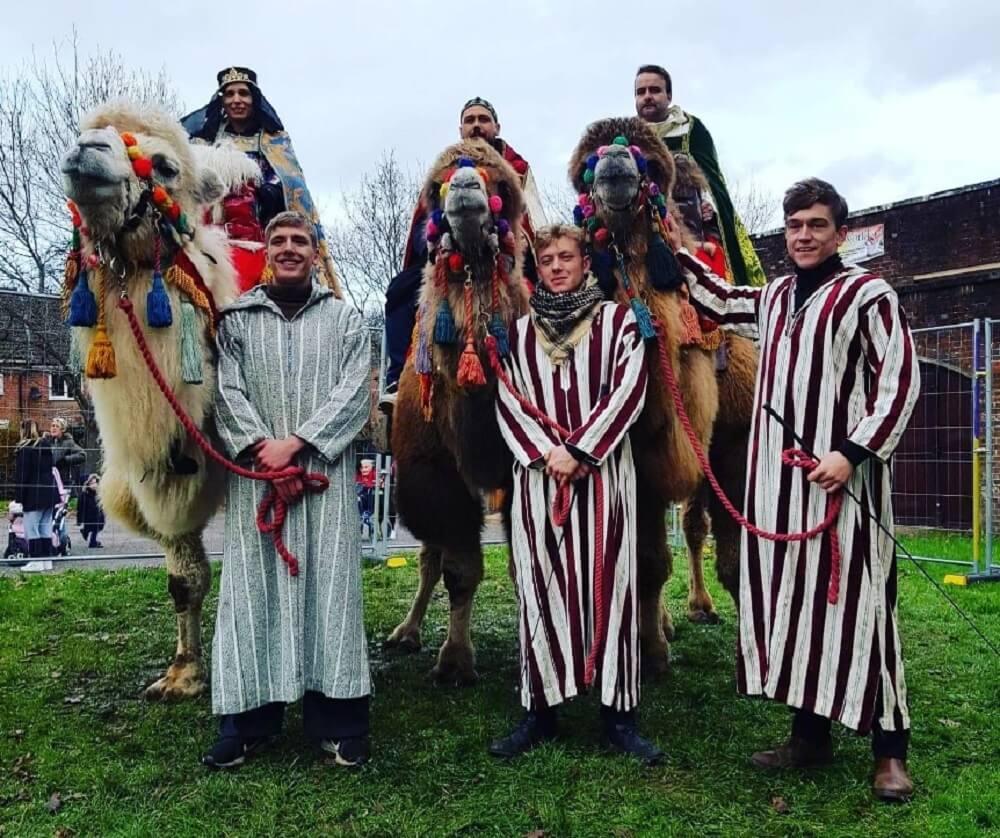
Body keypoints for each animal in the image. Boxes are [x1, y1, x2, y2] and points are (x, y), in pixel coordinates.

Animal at [59, 100, 258, 704]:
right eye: (86, 134)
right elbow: (182, 579)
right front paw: (182, 675)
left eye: (166, 167)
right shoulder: (161, 479)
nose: (86, 151)